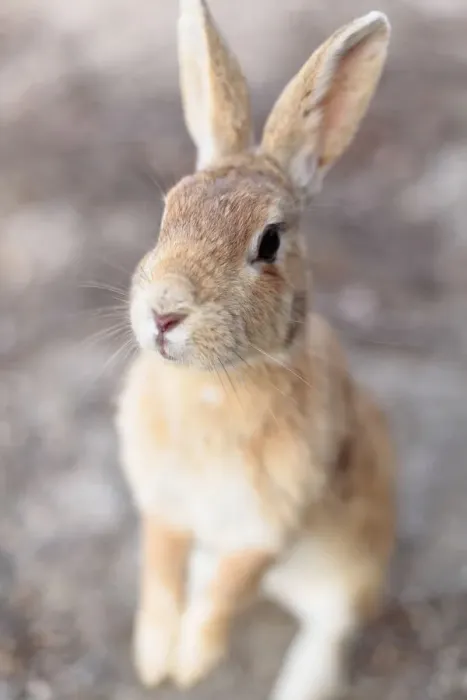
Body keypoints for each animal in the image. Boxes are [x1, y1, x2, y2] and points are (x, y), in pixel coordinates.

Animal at [116, 1, 396, 699]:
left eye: (269, 242)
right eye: (167, 211)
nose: (163, 313)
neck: (213, 383)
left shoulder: (267, 525)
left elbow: (228, 592)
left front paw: (190, 664)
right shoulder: (166, 506)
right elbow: (160, 567)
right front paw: (154, 659)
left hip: (351, 569)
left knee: (328, 628)